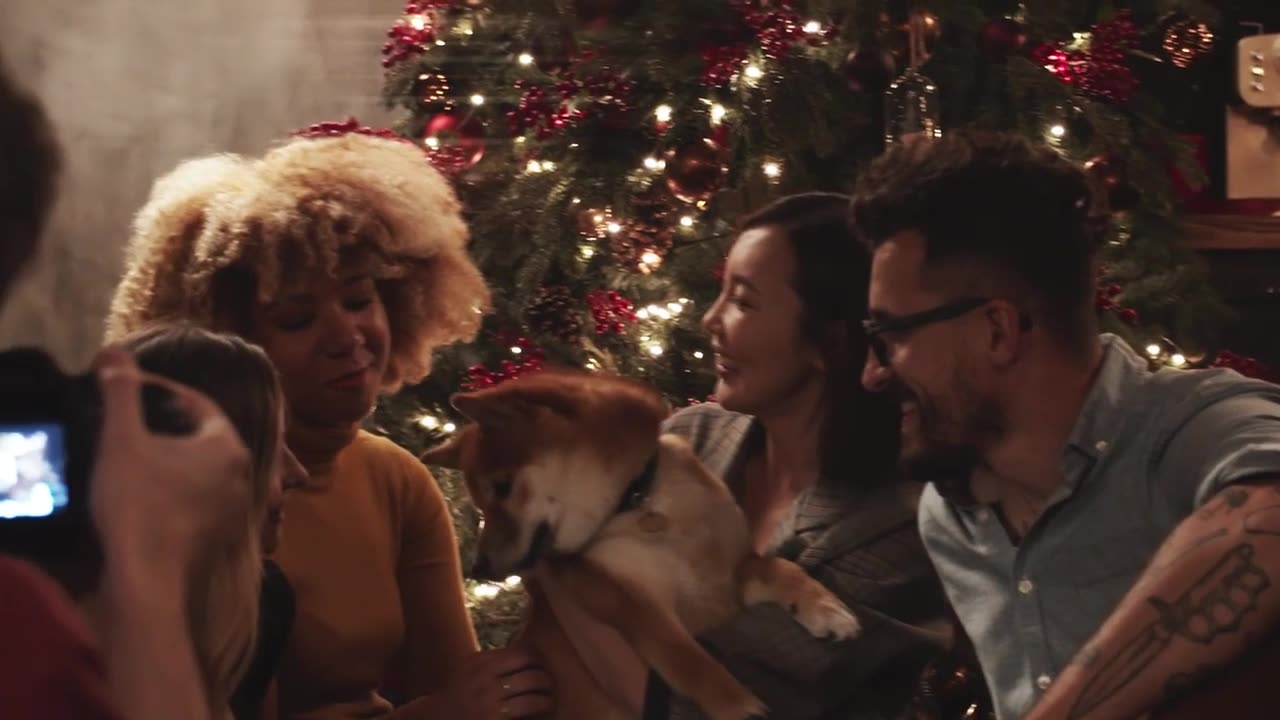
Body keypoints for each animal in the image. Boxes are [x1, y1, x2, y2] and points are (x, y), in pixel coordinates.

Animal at [422, 368, 860, 717]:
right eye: (480, 504)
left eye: (502, 487)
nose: (476, 567)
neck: (639, 504)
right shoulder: (631, 604)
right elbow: (689, 661)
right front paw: (740, 707)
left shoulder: (731, 576)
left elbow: (779, 567)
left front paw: (825, 607)